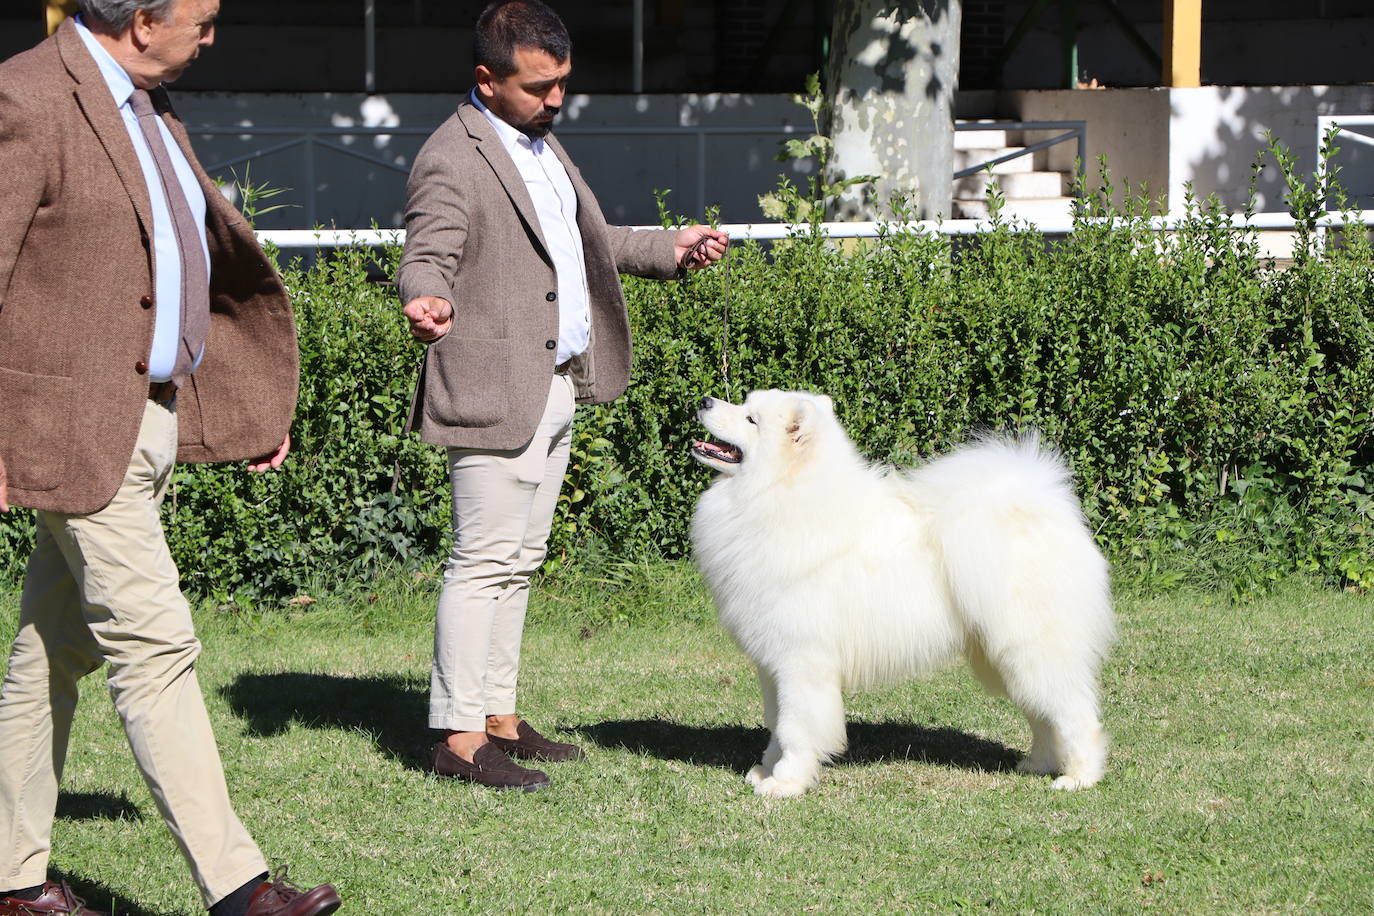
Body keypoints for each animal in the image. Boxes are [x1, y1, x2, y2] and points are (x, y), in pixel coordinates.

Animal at [687, 390, 1115, 796]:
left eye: (751, 419)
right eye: (744, 404)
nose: (704, 400)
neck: (779, 495)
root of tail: (1049, 514)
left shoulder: (801, 662)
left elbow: (795, 729)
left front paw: (786, 783)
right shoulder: (772, 664)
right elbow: (776, 724)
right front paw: (765, 770)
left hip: (1032, 650)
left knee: (1076, 715)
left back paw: (1079, 777)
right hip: (1004, 656)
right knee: (1042, 715)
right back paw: (1038, 764)